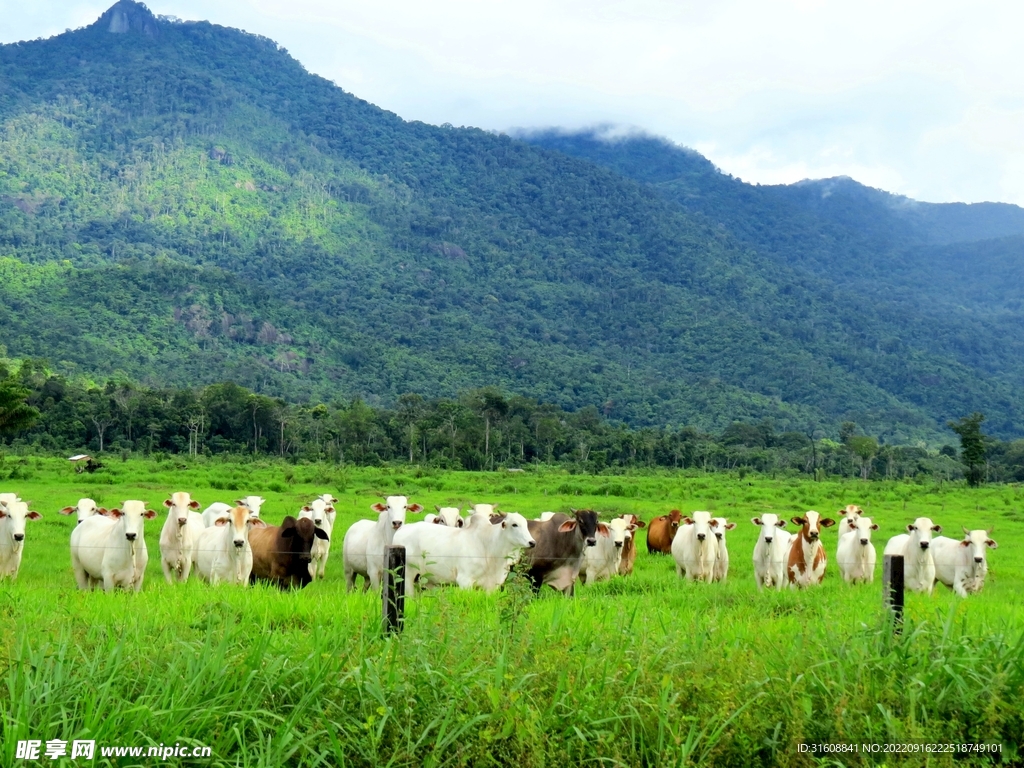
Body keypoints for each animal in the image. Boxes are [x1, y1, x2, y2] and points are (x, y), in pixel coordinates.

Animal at [391, 514, 536, 598]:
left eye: (526, 525)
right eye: (514, 524)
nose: (532, 542)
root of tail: (402, 529)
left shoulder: (492, 586)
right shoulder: (465, 581)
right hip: (407, 576)